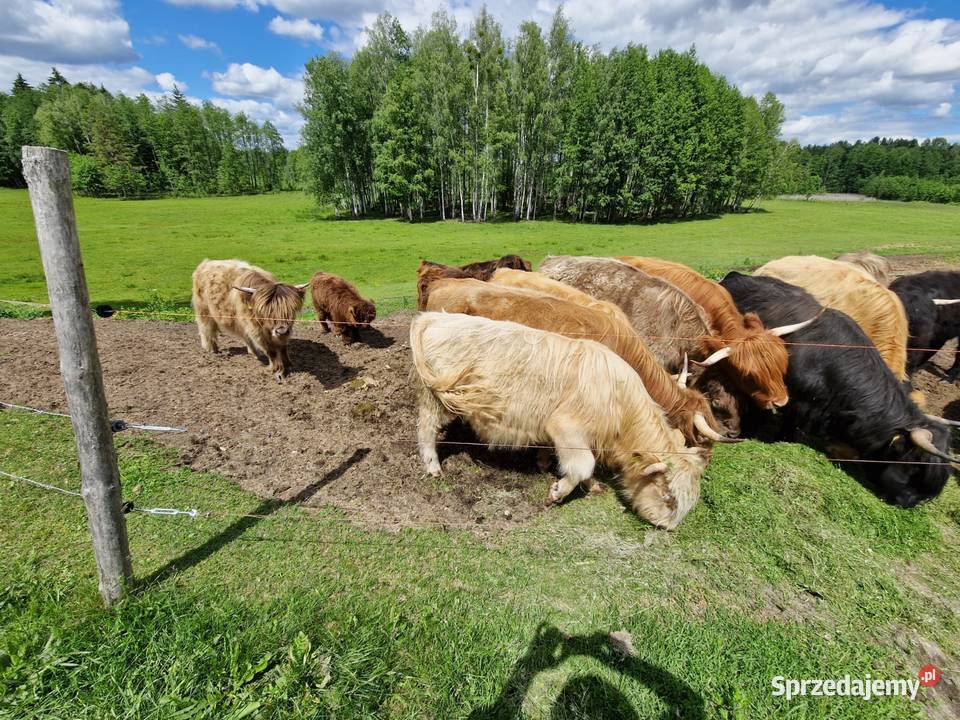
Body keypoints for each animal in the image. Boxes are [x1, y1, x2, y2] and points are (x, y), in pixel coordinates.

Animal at [410, 312, 710, 529]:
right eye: (669, 497)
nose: (666, 527)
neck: (619, 403)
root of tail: (434, 317)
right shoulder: (567, 430)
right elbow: (582, 466)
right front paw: (556, 493)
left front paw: (579, 480)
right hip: (434, 399)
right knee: (426, 430)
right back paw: (433, 467)